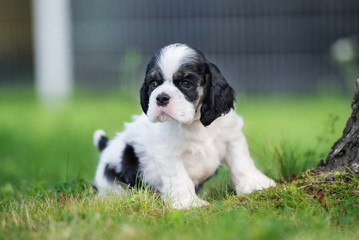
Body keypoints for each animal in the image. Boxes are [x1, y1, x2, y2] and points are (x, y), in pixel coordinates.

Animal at [93, 43, 276, 208]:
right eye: (153, 83)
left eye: (186, 83)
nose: (161, 97)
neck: (193, 123)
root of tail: (106, 145)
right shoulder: (169, 155)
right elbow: (179, 178)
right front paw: (188, 203)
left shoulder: (232, 138)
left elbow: (242, 163)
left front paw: (256, 184)